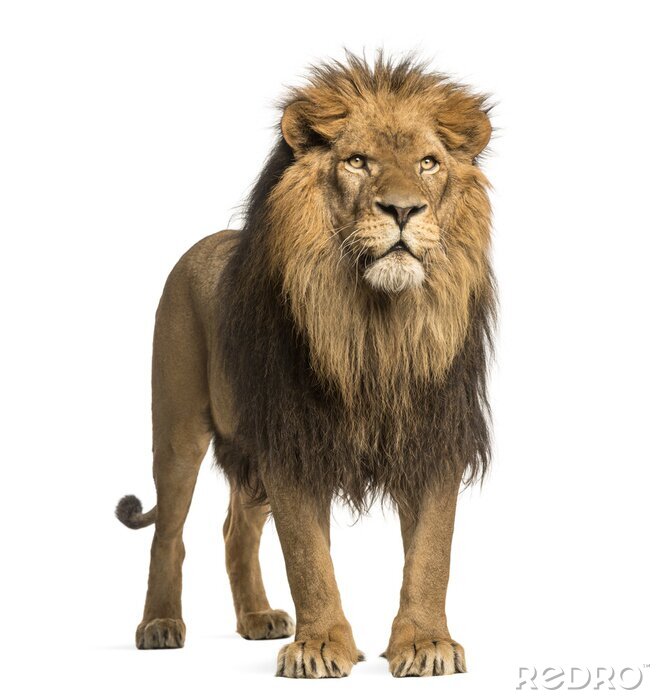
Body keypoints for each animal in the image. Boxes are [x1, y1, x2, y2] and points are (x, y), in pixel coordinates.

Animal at [115, 53, 495, 679]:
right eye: (357, 161)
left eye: (429, 163)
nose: (403, 210)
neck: (375, 324)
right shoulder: (292, 439)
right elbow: (308, 558)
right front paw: (320, 647)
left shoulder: (432, 435)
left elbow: (431, 554)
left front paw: (425, 643)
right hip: (177, 429)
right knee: (168, 533)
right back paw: (160, 625)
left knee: (236, 528)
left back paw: (257, 618)